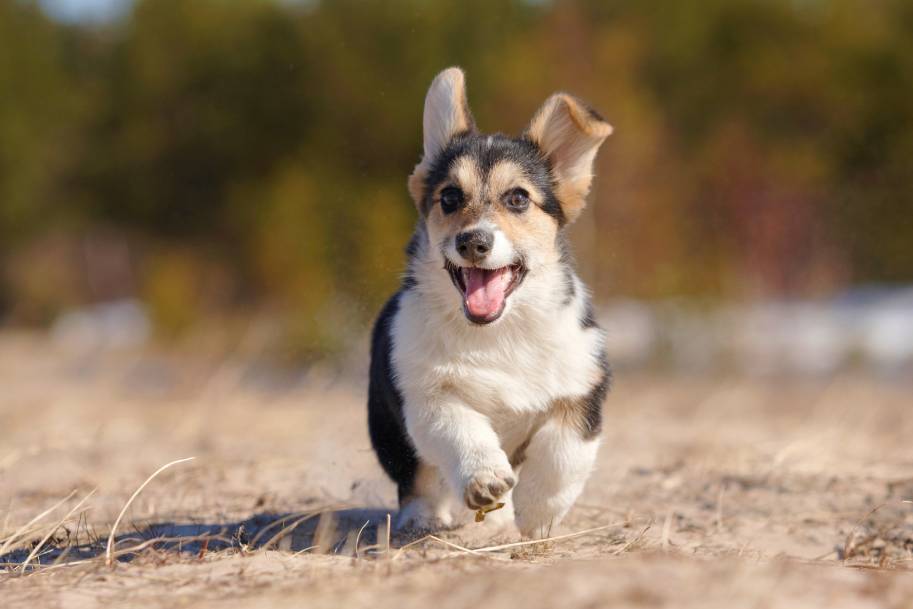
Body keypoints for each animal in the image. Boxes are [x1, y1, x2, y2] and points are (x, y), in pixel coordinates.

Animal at [366, 66, 612, 536]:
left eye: (517, 198)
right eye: (449, 197)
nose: (473, 242)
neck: (500, 333)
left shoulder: (582, 389)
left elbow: (562, 454)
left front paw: (536, 514)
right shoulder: (425, 395)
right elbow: (461, 429)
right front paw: (485, 479)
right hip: (385, 425)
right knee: (416, 478)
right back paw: (422, 518)